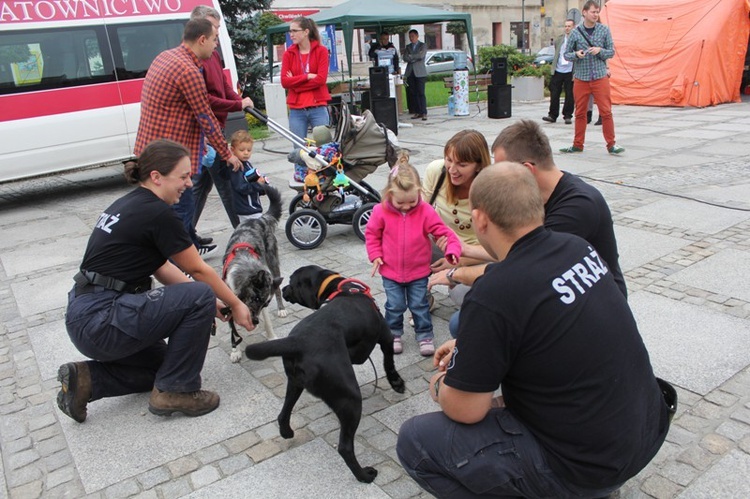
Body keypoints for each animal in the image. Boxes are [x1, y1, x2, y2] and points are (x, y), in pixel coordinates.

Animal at [247, 266, 406, 484]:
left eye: (292, 282)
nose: (284, 288)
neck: (341, 288)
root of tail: (297, 341)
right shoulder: (386, 337)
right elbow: (389, 362)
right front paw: (396, 383)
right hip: (351, 399)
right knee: (345, 448)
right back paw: (364, 475)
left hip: (295, 383)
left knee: (283, 415)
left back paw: (287, 432)